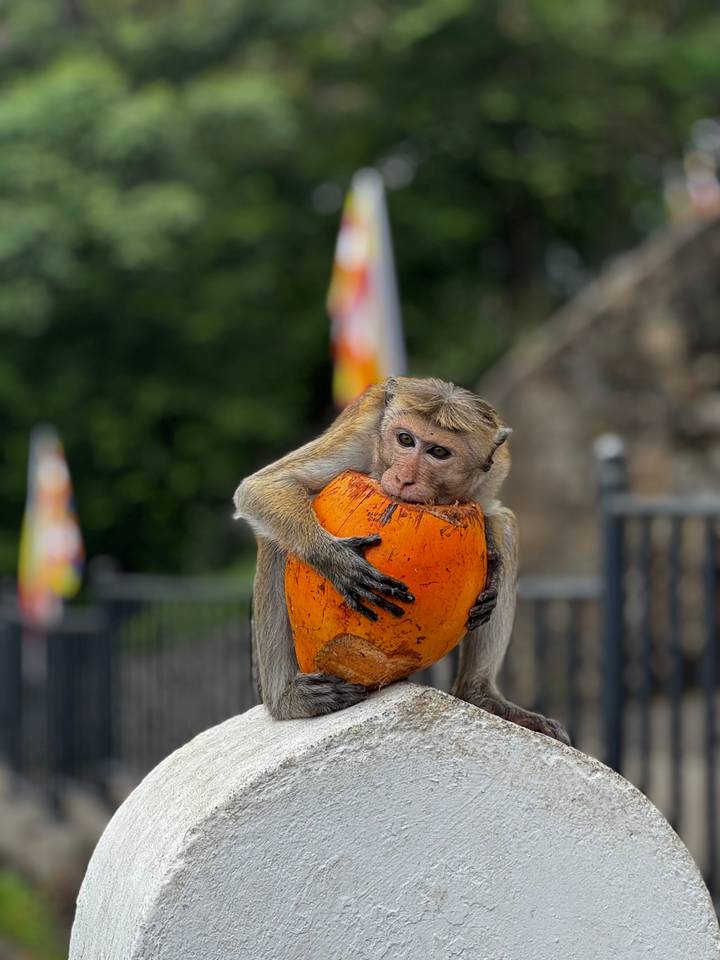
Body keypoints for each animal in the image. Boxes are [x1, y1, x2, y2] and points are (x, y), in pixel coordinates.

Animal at [233, 376, 570, 745]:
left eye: (438, 452)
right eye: (405, 440)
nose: (404, 477)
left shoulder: (491, 474)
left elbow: (491, 513)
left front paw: (492, 580)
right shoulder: (362, 432)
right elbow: (261, 488)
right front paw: (337, 561)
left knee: (506, 523)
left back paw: (480, 695)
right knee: (274, 541)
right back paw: (286, 700)